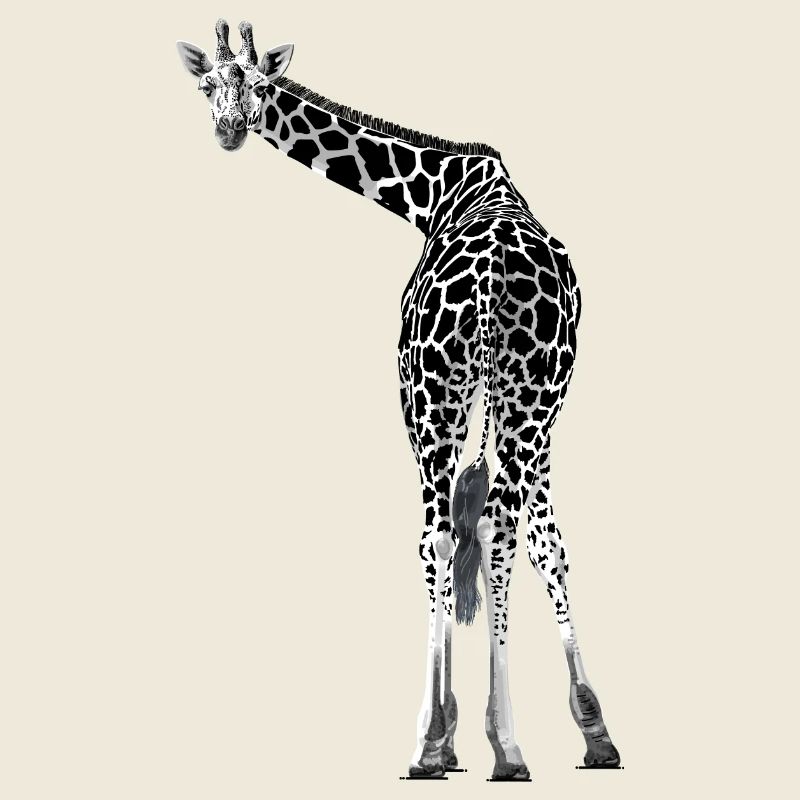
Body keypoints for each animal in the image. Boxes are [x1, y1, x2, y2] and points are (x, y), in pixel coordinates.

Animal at [177, 20, 621, 780]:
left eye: (260, 84)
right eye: (208, 83)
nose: (230, 129)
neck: (438, 190)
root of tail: (494, 278)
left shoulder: (422, 394)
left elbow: (447, 540)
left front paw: (444, 735)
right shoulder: (541, 403)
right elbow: (545, 539)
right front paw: (584, 728)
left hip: (433, 397)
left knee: (440, 535)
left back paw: (441, 742)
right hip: (530, 395)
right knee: (510, 528)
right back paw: (527, 745)